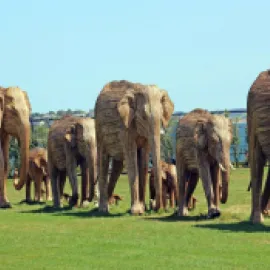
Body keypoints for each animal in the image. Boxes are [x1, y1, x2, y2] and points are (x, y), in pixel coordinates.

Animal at [95, 79, 174, 214]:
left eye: (161, 117)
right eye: (143, 117)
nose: (157, 208)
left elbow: (143, 159)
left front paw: (142, 209)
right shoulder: (126, 125)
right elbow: (132, 160)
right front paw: (137, 211)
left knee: (118, 166)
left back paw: (108, 205)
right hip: (99, 128)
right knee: (103, 161)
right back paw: (103, 209)